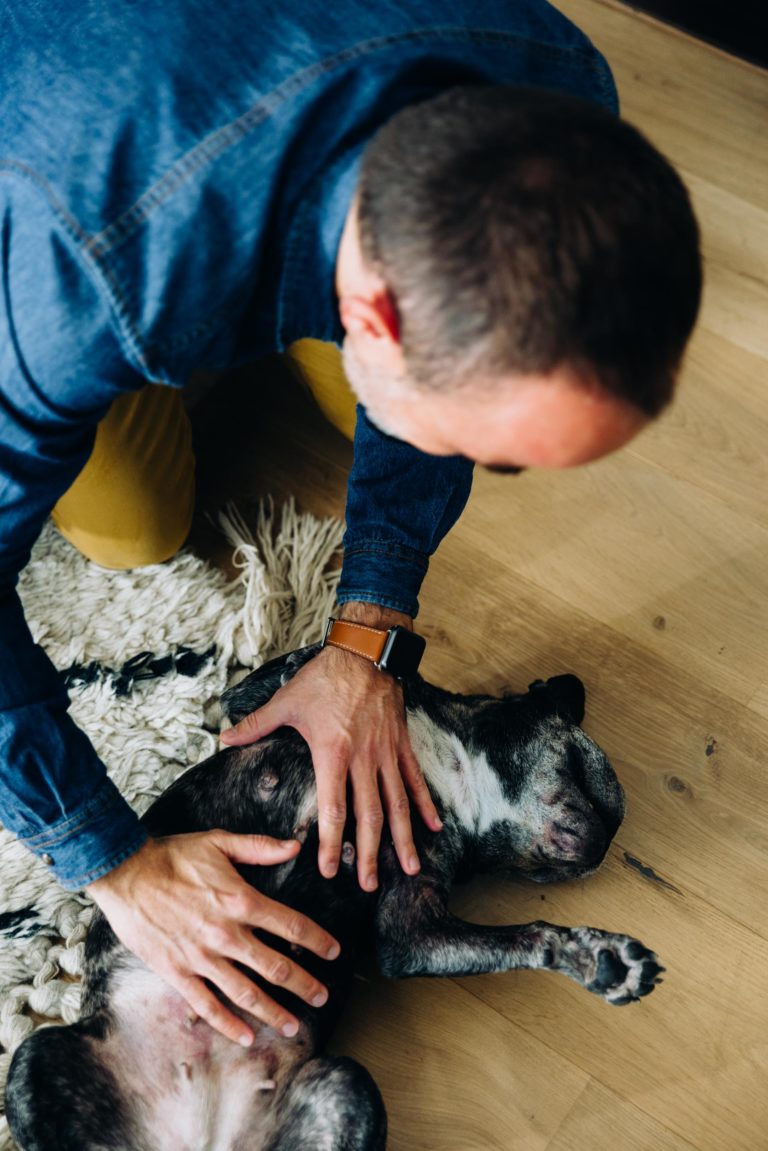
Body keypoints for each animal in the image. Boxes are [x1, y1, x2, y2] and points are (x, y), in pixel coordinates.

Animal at [6, 649, 663, 1151]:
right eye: (580, 765)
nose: (601, 845)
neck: (444, 769)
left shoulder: (412, 931)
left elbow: (528, 935)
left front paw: (596, 958)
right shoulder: (254, 707)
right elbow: (299, 671)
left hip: (344, 1089)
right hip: (35, 1060)